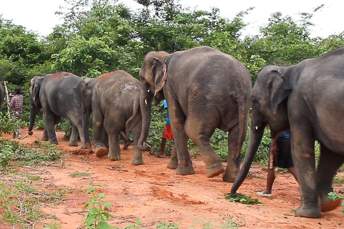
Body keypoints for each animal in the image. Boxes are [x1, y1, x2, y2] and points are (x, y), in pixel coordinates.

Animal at [139, 45, 250, 181]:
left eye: (142, 78)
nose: (145, 147)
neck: (165, 56)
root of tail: (238, 85)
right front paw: (172, 167)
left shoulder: (169, 86)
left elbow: (177, 121)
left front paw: (181, 172)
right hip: (241, 104)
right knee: (237, 135)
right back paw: (230, 179)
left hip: (204, 99)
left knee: (193, 130)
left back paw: (215, 172)